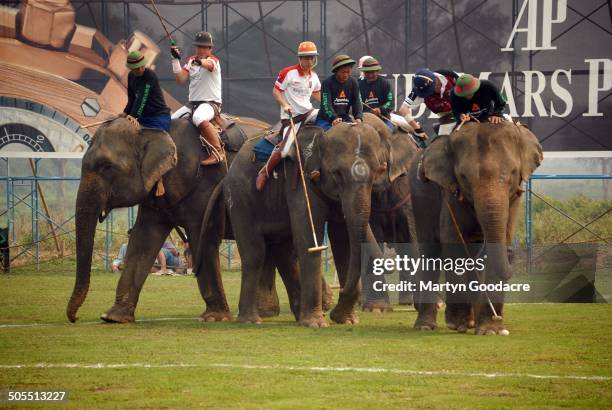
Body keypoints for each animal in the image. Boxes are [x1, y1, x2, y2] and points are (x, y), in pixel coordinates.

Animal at [65, 116, 268, 324]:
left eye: (106, 167)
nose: (75, 318)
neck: (152, 131)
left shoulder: (204, 186)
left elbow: (203, 238)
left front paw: (214, 318)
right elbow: (143, 240)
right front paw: (113, 317)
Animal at [406, 120, 540, 334]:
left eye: (513, 174)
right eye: (464, 177)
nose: (512, 254)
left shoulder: (514, 199)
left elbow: (498, 242)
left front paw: (492, 330)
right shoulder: (450, 193)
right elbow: (453, 241)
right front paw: (457, 324)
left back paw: (472, 322)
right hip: (419, 195)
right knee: (430, 249)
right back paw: (426, 326)